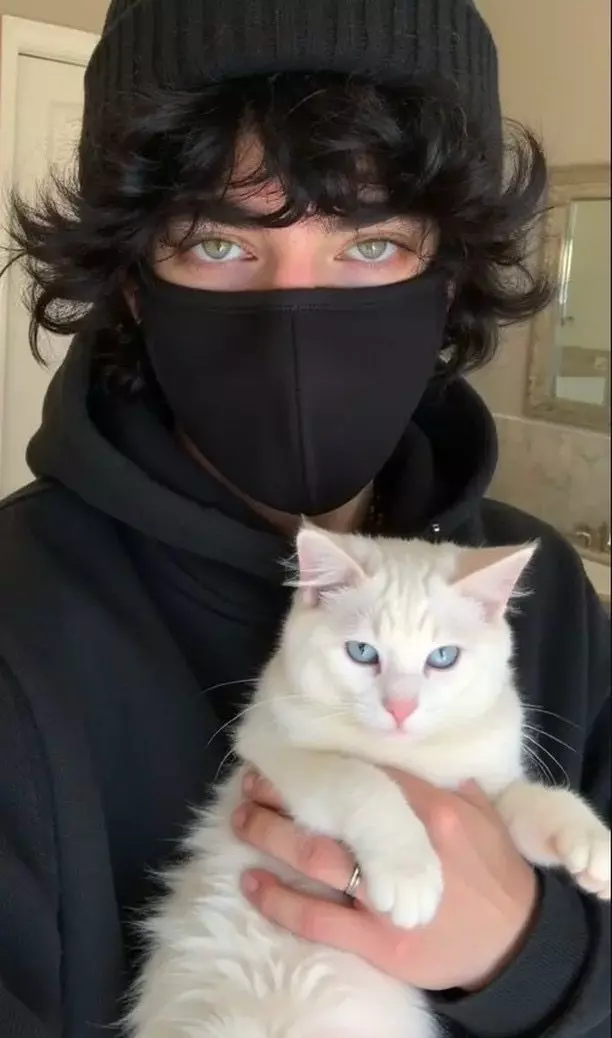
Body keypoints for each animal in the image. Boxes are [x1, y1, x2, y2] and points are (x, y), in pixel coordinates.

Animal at [129, 526, 611, 1038]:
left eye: (443, 658)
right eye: (362, 653)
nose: (401, 708)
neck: (406, 754)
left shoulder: (484, 791)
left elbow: (528, 801)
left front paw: (590, 843)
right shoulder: (275, 752)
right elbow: (360, 778)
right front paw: (409, 871)